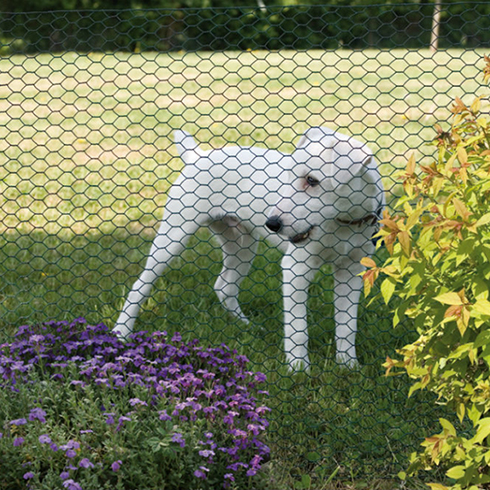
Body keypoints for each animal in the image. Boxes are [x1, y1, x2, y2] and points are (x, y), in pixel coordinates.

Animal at [113, 127, 384, 372]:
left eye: (312, 180)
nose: (272, 223)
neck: (344, 224)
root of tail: (196, 156)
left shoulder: (351, 272)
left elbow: (347, 326)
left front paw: (348, 365)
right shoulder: (296, 268)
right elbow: (297, 329)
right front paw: (298, 369)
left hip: (241, 246)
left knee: (224, 287)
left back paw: (247, 326)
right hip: (172, 237)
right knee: (139, 287)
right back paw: (120, 333)